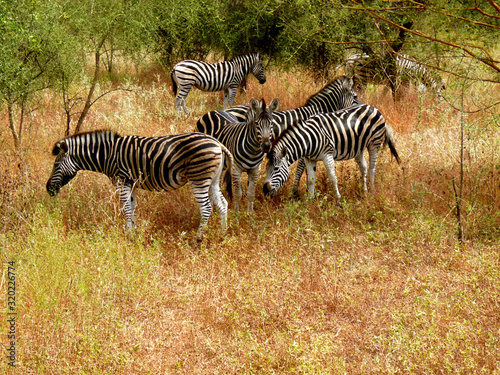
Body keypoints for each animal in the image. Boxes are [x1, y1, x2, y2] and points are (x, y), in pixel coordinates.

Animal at [45, 130, 236, 241]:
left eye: (55, 165)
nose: (48, 189)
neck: (107, 155)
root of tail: (217, 143)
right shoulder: (132, 183)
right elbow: (132, 207)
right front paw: (135, 232)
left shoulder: (122, 181)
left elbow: (126, 209)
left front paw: (129, 236)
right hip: (213, 180)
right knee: (223, 204)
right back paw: (223, 234)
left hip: (199, 178)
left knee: (206, 208)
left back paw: (198, 239)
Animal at [264, 103, 400, 200]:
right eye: (266, 168)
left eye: (276, 169)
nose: (265, 191)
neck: (308, 140)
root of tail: (374, 108)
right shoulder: (309, 159)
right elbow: (310, 180)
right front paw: (309, 201)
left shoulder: (327, 154)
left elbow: (332, 178)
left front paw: (338, 199)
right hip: (358, 147)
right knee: (364, 167)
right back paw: (365, 192)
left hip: (374, 143)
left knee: (372, 169)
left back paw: (371, 193)